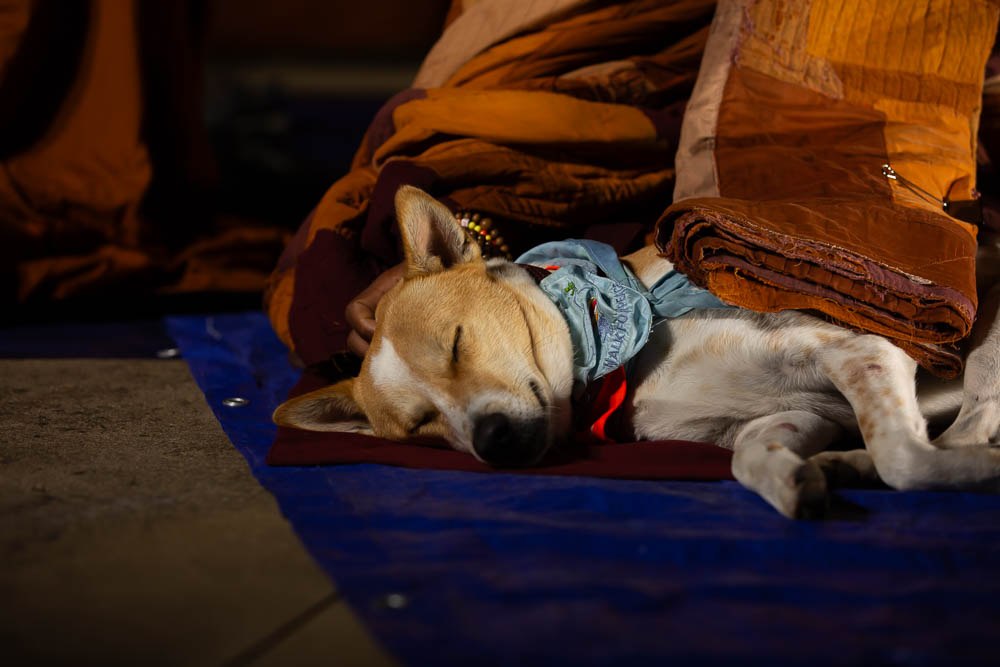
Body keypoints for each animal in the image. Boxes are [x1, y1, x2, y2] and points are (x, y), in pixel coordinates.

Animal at [274, 186, 1000, 518]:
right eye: (421, 426)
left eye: (455, 343)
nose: (492, 441)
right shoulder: (789, 411)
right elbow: (747, 455)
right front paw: (794, 480)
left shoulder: (862, 346)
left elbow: (907, 457)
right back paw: (844, 465)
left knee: (966, 425)